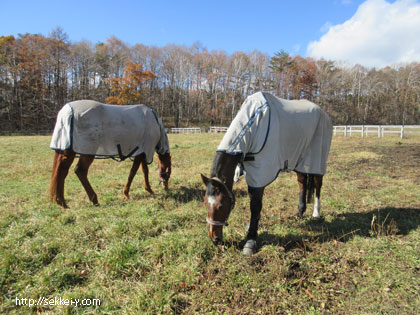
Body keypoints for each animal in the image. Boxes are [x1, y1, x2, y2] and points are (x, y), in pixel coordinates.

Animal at [200, 92, 332, 256]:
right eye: (205, 203)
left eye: (221, 205)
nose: (215, 239)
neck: (254, 122)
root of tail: (324, 114)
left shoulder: (261, 171)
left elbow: (255, 205)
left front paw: (250, 240)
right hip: (299, 159)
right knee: (302, 183)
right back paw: (300, 213)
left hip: (317, 158)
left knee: (318, 184)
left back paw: (316, 213)